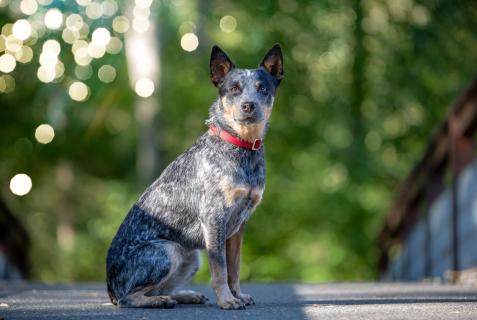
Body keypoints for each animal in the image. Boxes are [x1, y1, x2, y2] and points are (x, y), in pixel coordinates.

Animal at [105, 43, 282, 308]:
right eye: (234, 89)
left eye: (263, 88)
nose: (249, 105)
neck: (240, 147)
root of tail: (110, 289)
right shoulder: (214, 218)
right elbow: (220, 269)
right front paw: (227, 300)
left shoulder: (239, 225)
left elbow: (235, 268)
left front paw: (237, 294)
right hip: (167, 250)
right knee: (129, 297)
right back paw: (160, 301)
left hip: (191, 257)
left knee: (159, 288)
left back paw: (184, 295)